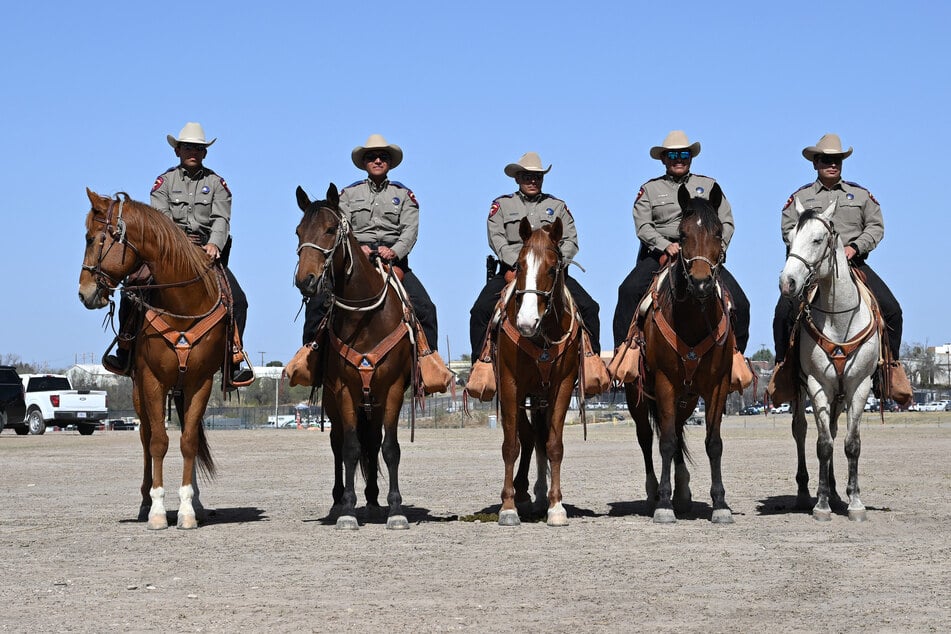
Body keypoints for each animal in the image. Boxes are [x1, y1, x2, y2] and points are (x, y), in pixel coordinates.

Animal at [77, 189, 225, 528]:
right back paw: (146, 503)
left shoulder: (200, 382)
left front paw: (187, 510)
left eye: (92, 239)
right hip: (138, 391)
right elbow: (158, 441)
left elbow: (188, 441)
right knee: (145, 437)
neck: (184, 305)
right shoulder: (151, 380)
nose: (84, 292)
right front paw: (158, 510)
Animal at [294, 183, 412, 528]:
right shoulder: (343, 389)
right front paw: (347, 509)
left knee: (372, 442)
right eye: (298, 231)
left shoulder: (393, 388)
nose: (305, 280)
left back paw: (373, 501)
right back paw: (339, 502)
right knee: (339, 444)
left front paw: (396, 510)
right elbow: (348, 448)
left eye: (330, 229)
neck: (366, 318)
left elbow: (389, 448)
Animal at [494, 216, 584, 524]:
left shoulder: (562, 386)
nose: (526, 321)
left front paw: (556, 506)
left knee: (540, 438)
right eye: (520, 265)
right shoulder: (511, 386)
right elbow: (511, 445)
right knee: (528, 437)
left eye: (553, 267)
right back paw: (522, 493)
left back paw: (541, 495)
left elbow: (554, 445)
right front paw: (508, 507)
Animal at [628, 183, 740, 524]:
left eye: (718, 232)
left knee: (677, 429)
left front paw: (720, 504)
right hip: (638, 395)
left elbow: (713, 443)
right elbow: (664, 442)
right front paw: (664, 505)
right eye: (682, 233)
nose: (702, 283)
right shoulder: (665, 383)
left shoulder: (717, 386)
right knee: (647, 437)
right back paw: (655, 492)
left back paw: (683, 491)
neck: (691, 321)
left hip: (687, 398)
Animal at [776, 198, 880, 520]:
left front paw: (855, 502)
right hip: (802, 390)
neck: (839, 318)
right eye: (789, 238)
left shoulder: (859, 385)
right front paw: (820, 504)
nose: (788, 282)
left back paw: (836, 492)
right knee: (800, 430)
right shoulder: (817, 383)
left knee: (835, 431)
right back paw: (805, 493)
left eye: (818, 239)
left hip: (840, 393)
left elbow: (850, 443)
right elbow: (823, 445)